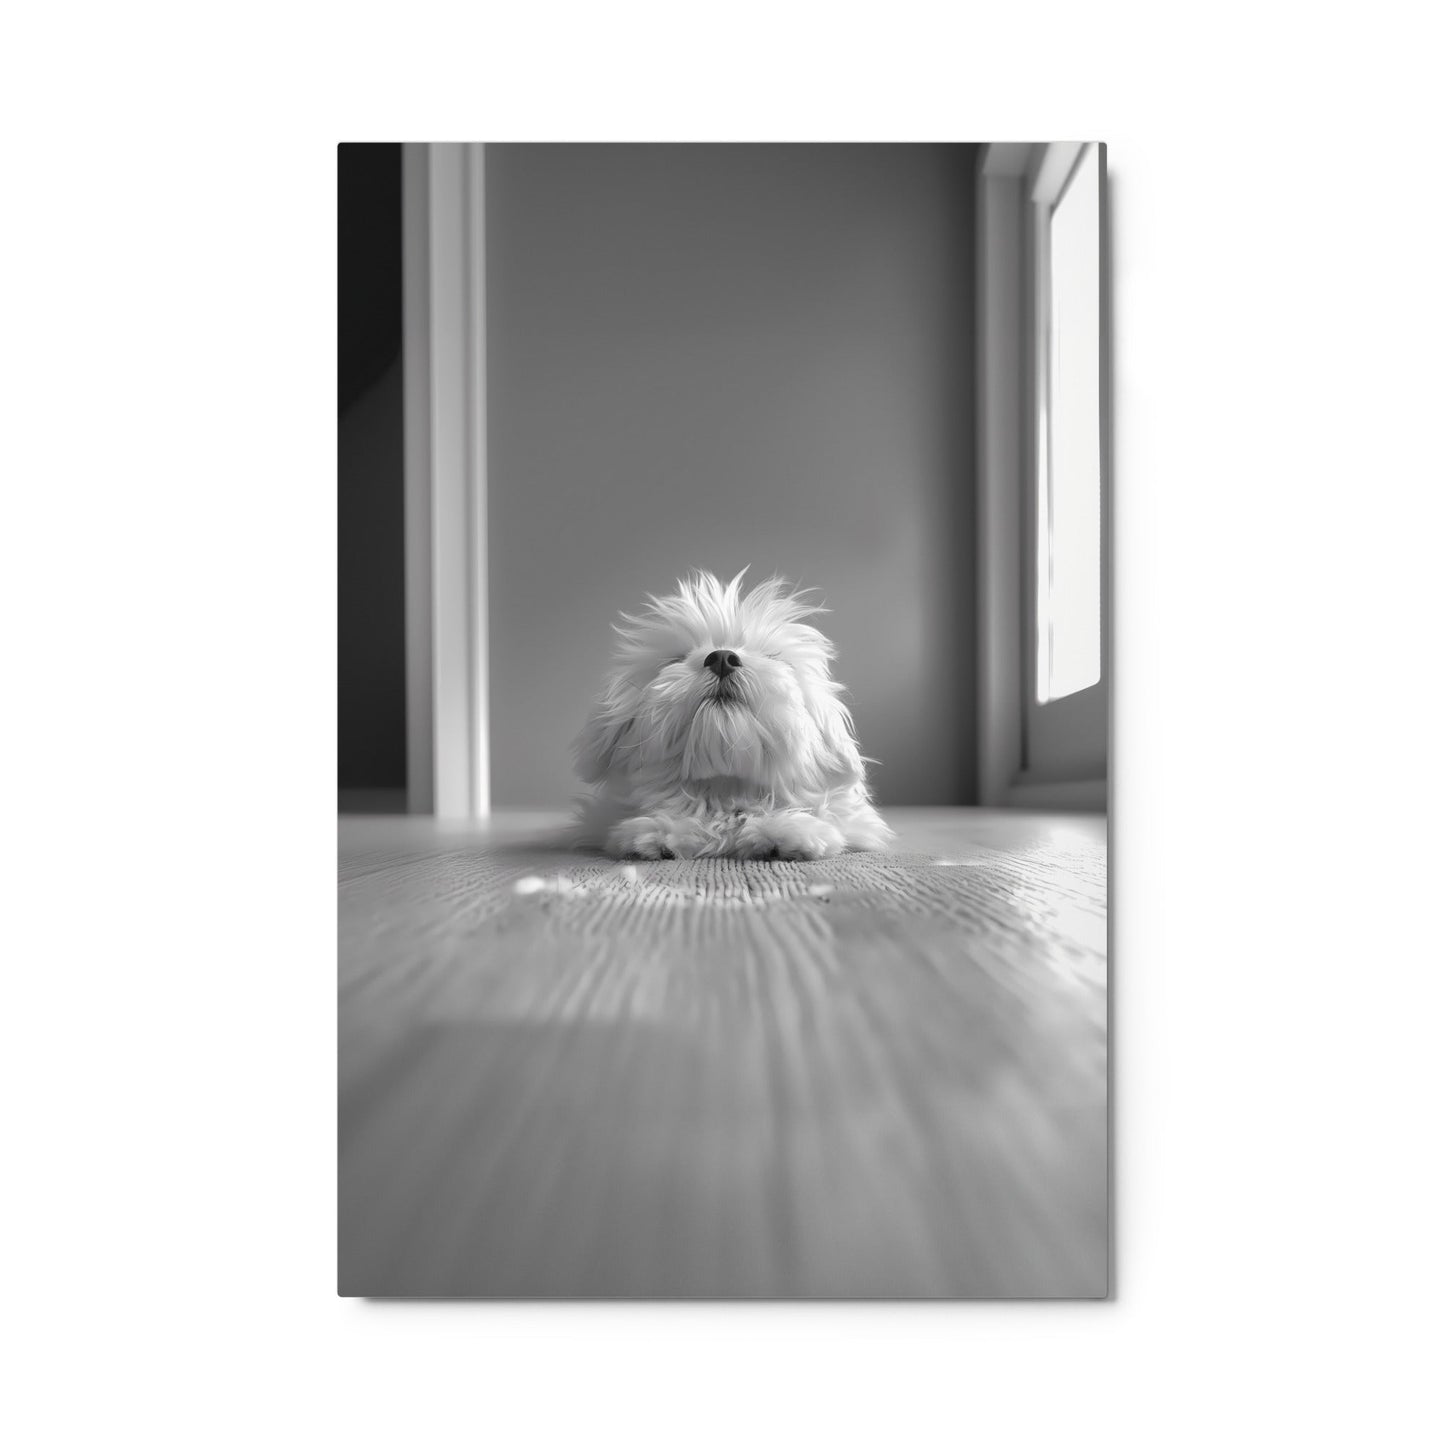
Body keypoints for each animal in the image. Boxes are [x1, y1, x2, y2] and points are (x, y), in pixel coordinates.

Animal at [572, 566, 890, 855]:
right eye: (678, 658)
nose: (722, 658)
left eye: (772, 657)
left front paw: (787, 831)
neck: (726, 790)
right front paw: (659, 832)